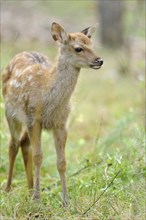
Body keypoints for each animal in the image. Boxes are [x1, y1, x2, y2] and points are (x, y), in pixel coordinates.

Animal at [2, 21, 102, 205]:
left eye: (92, 45)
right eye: (78, 48)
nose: (99, 60)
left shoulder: (61, 123)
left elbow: (61, 162)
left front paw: (66, 202)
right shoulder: (33, 119)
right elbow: (38, 157)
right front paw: (38, 200)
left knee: (23, 144)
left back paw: (29, 189)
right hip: (11, 114)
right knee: (13, 145)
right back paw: (8, 188)